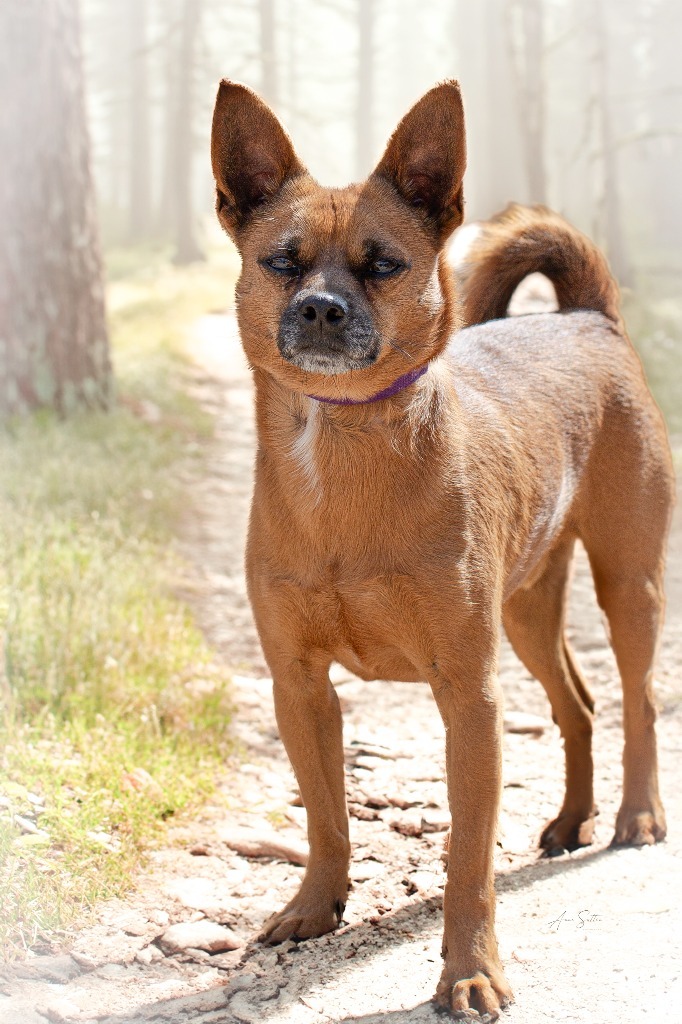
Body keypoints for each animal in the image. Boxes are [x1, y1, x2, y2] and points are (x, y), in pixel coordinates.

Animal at [209, 81, 671, 1024]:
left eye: (384, 265)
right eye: (283, 262)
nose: (320, 309)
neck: (344, 447)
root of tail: (587, 318)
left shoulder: (469, 697)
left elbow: (468, 860)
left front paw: (470, 972)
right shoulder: (299, 688)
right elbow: (325, 816)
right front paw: (315, 907)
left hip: (628, 588)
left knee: (637, 701)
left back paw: (636, 816)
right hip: (526, 614)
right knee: (578, 707)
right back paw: (570, 821)